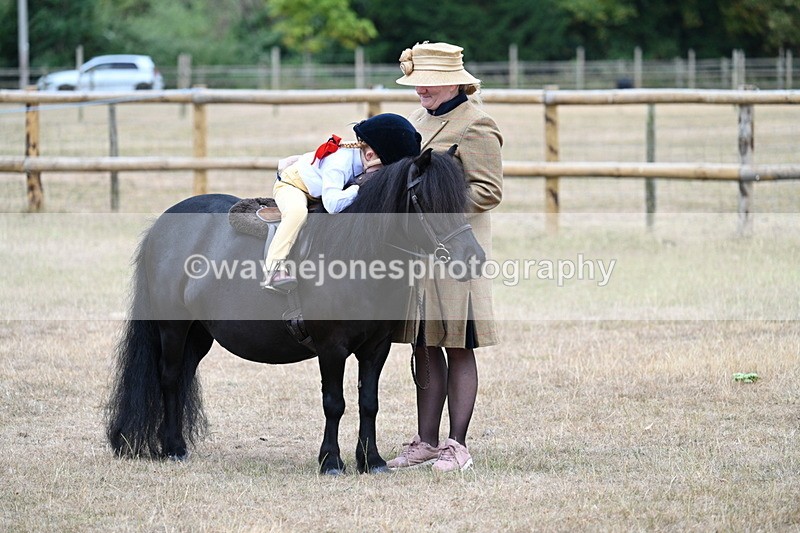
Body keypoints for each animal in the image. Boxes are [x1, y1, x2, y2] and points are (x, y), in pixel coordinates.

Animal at [105, 147, 485, 475]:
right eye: (429, 201)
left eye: (462, 200)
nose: (473, 259)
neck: (356, 255)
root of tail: (163, 224)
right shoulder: (331, 348)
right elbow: (334, 402)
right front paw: (331, 462)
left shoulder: (376, 348)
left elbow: (368, 402)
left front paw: (371, 461)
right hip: (172, 326)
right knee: (169, 378)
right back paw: (173, 448)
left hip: (198, 335)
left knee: (182, 374)